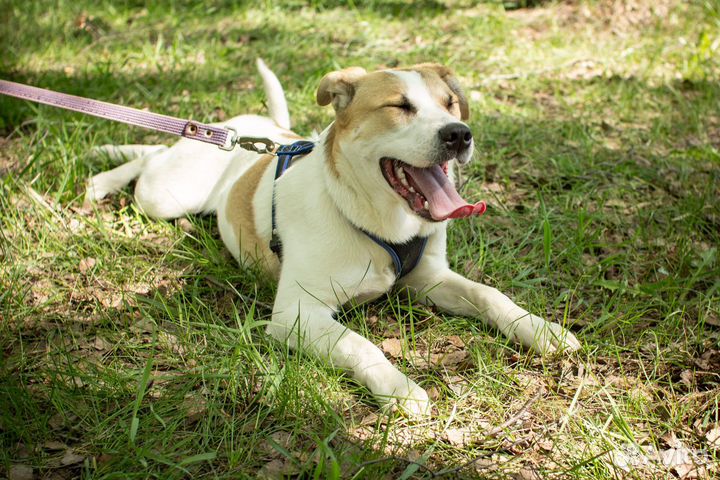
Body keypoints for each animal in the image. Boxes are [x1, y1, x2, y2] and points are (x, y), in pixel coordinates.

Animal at [86, 58, 580, 414]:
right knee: (153, 155)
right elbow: (359, 344)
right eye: (399, 106)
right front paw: (399, 388)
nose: (459, 134)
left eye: (449, 103)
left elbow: (489, 294)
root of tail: (244, 129)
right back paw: (103, 176)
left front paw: (541, 329)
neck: (372, 220)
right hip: (165, 196)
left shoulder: (430, 277)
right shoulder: (296, 313)